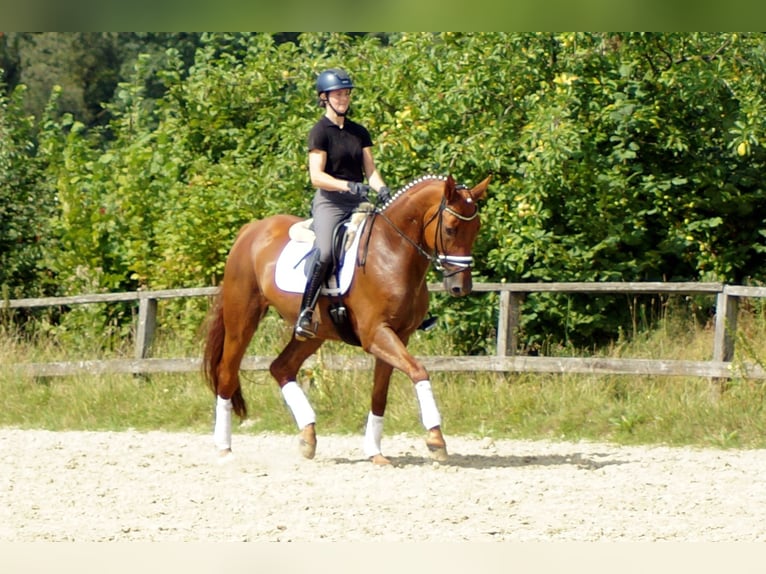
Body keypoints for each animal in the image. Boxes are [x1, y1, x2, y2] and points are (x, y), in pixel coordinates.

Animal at [204, 173, 492, 466]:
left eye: (477, 228)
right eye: (451, 229)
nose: (461, 287)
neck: (392, 251)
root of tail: (250, 230)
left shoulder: (398, 336)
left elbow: (380, 395)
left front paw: (375, 452)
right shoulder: (376, 334)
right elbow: (419, 371)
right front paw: (436, 440)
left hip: (315, 333)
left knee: (281, 368)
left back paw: (308, 437)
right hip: (242, 319)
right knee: (227, 373)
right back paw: (224, 448)